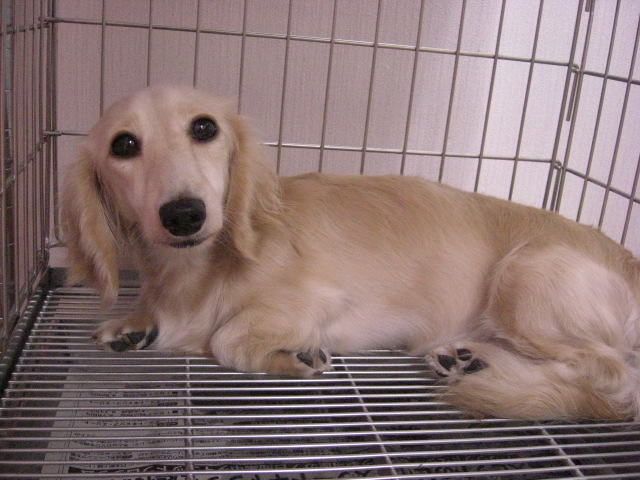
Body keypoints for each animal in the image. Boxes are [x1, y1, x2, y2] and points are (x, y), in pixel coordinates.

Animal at [61, 85, 640, 421]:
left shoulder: (318, 299)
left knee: (617, 381)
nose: (184, 214)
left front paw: (291, 356)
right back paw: (468, 359)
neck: (192, 272)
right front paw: (133, 323)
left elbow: (226, 339)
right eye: (123, 145)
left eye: (204, 126)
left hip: (527, 276)